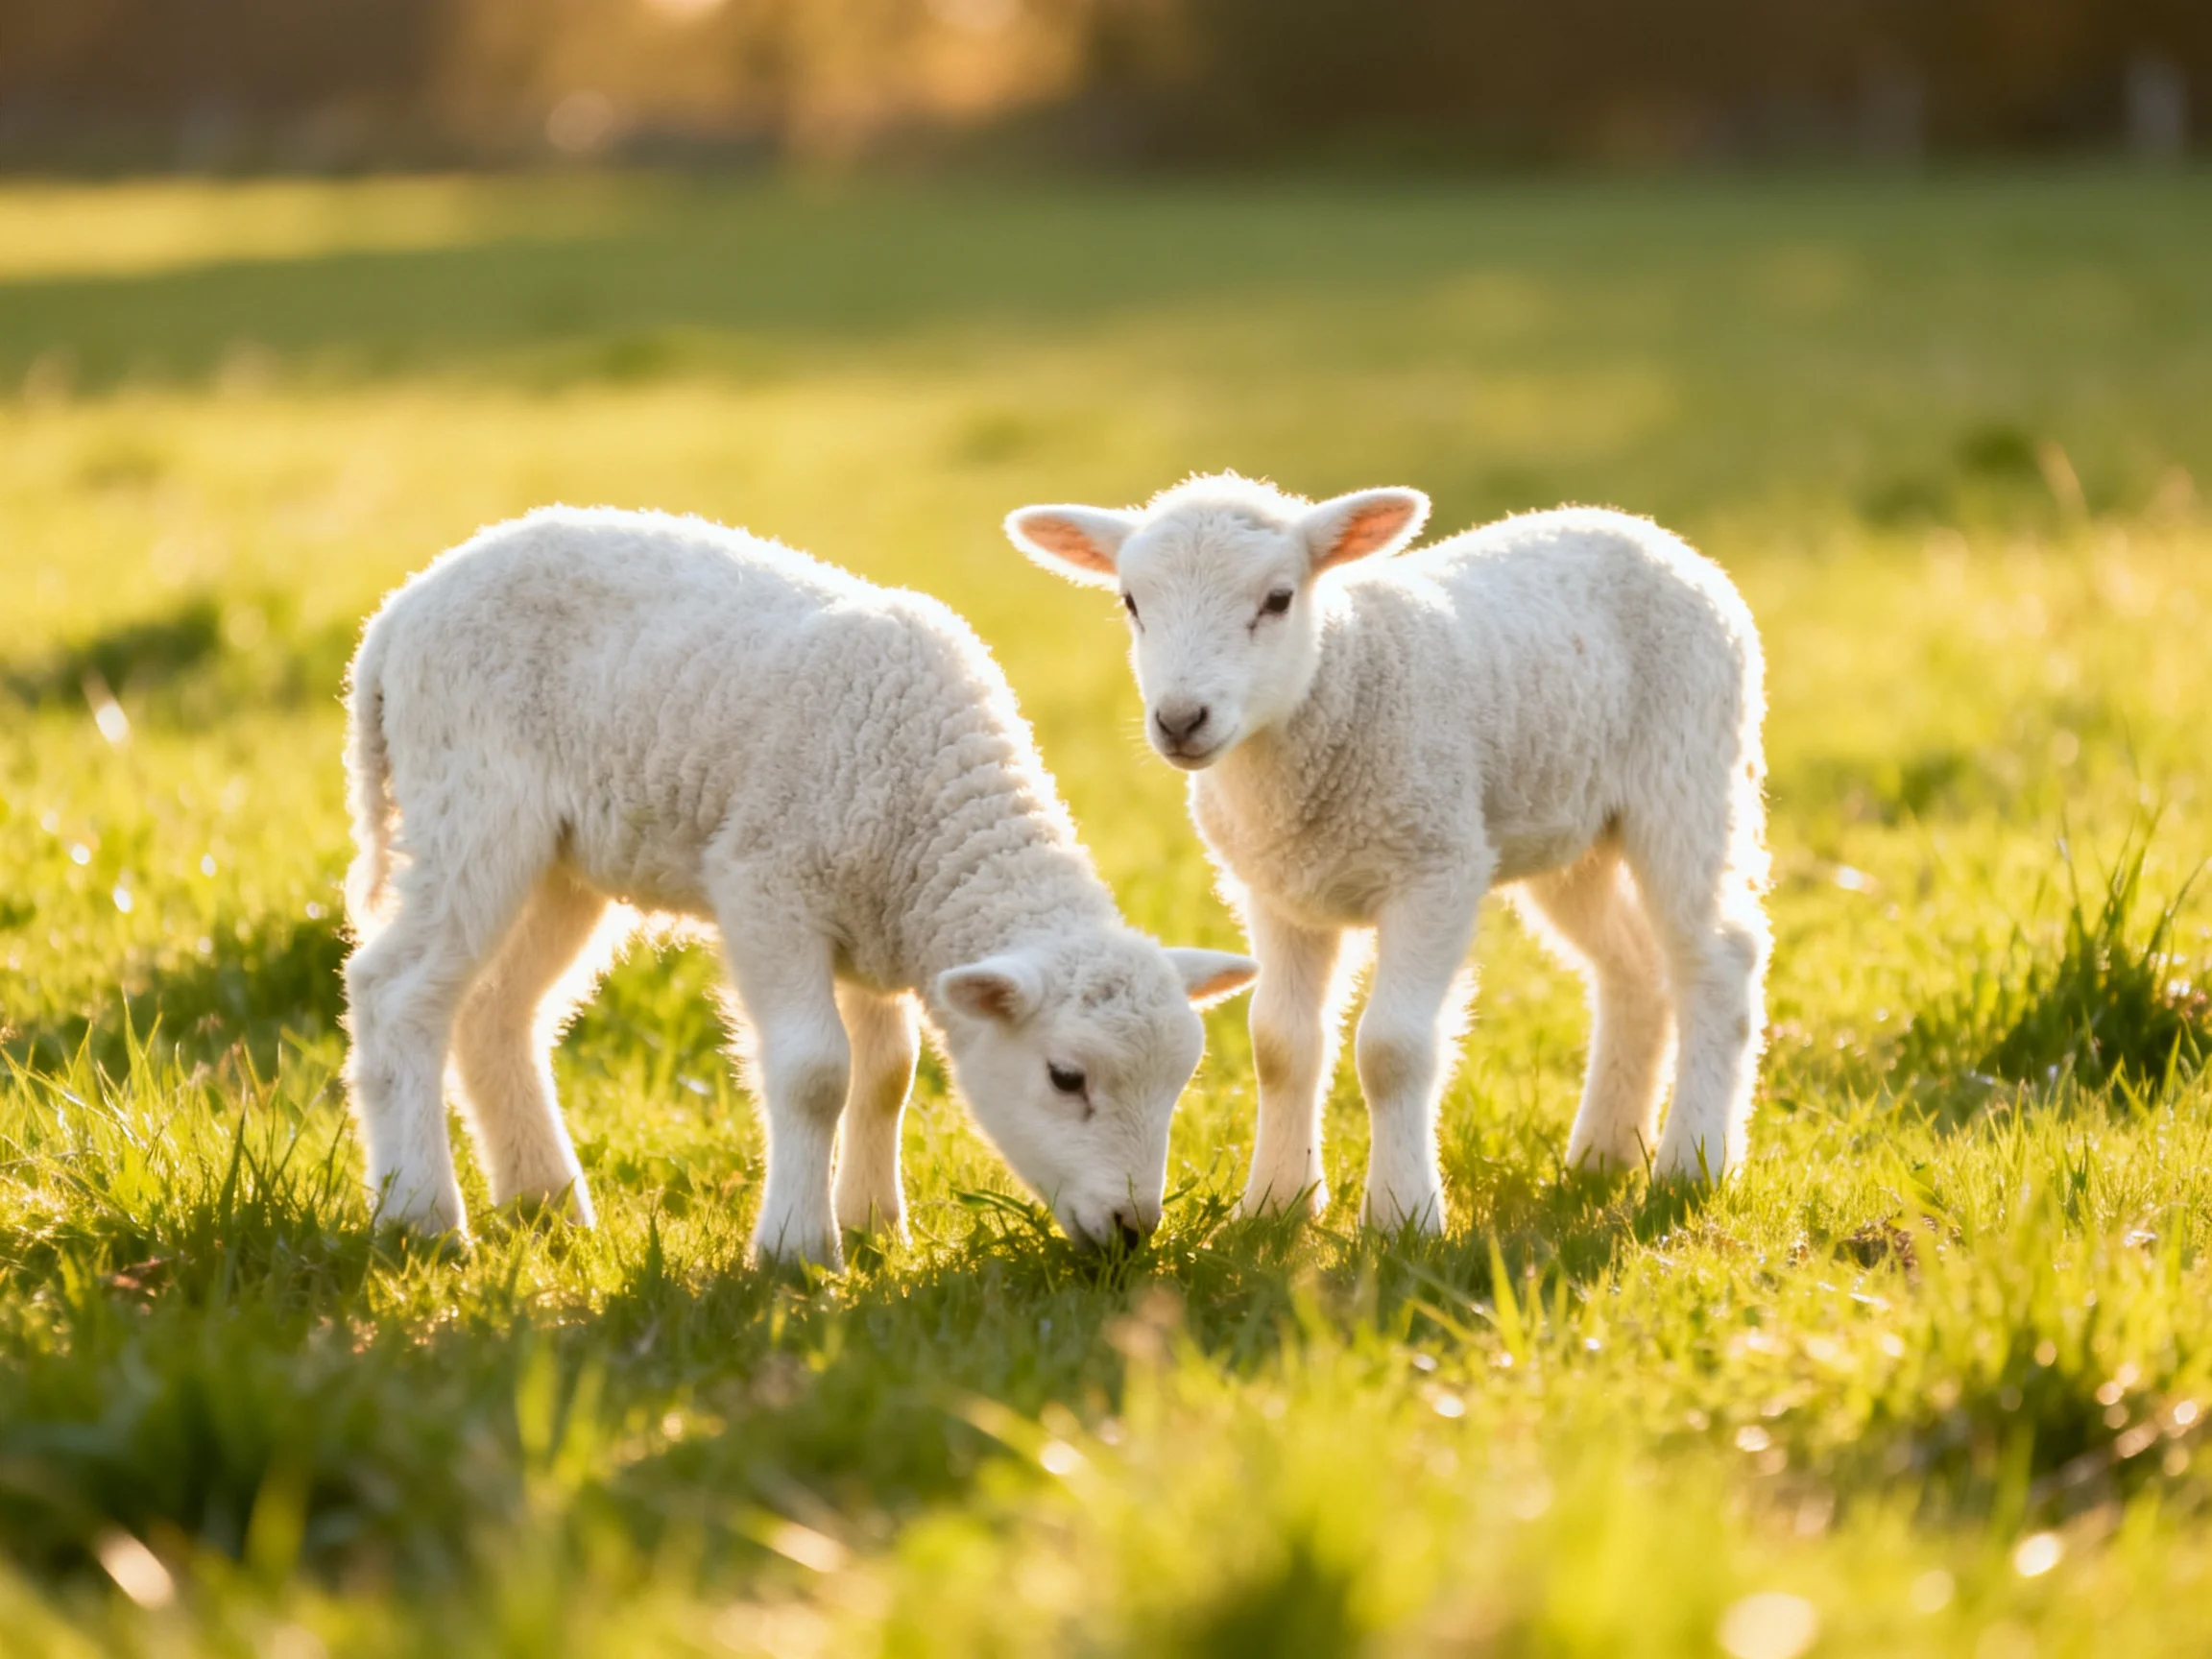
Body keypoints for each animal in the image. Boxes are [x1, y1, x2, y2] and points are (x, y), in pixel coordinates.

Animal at [341, 505, 1256, 1268]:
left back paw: (548, 1206)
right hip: (472, 801)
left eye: (1179, 1084)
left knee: (497, 1015)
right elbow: (817, 1073)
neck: (930, 817)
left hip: (565, 863)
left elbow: (887, 1076)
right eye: (1067, 1078)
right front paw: (799, 1252)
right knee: (397, 992)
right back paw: (423, 1219)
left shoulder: (876, 924)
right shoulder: (769, 886)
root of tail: (397, 614)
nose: (1133, 1230)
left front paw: (876, 1226)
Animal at [1006, 474, 1769, 1230]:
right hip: (1573, 833)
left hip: (1689, 775)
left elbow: (1392, 1049)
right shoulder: (1279, 891)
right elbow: (1279, 1045)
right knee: (1633, 968)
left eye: (1278, 598)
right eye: (1131, 602)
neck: (1339, 683)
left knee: (1717, 959)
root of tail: (1642, 529)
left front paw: (1402, 1215)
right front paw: (1274, 1204)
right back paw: (1603, 1155)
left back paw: (1692, 1163)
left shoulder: (1436, 868)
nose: (1180, 720)